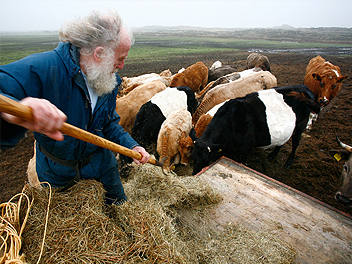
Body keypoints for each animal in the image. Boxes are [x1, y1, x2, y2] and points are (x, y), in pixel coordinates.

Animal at [191, 84, 320, 175]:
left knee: (295, 142)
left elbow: (241, 163)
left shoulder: (245, 149)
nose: (195, 173)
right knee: (283, 141)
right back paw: (273, 155)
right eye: (193, 156)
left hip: (301, 124)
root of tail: (305, 88)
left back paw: (289, 162)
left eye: (206, 158)